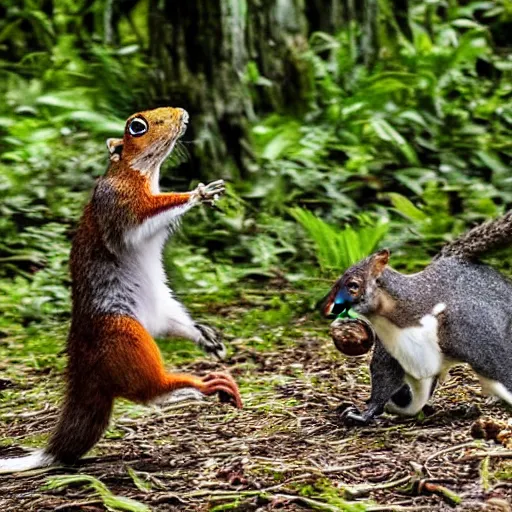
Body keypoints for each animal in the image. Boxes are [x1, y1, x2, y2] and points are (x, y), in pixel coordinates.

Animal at [0, 106, 242, 474]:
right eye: (136, 126)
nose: (182, 113)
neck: (139, 172)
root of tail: (83, 363)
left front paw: (209, 339)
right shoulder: (119, 206)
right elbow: (149, 213)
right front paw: (198, 193)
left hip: (161, 312)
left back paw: (200, 344)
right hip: (124, 337)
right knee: (149, 392)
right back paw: (197, 385)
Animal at [322, 211, 512, 424]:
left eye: (353, 285)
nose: (327, 307)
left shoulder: (470, 330)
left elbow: (501, 368)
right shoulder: (392, 351)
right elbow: (384, 379)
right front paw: (366, 413)